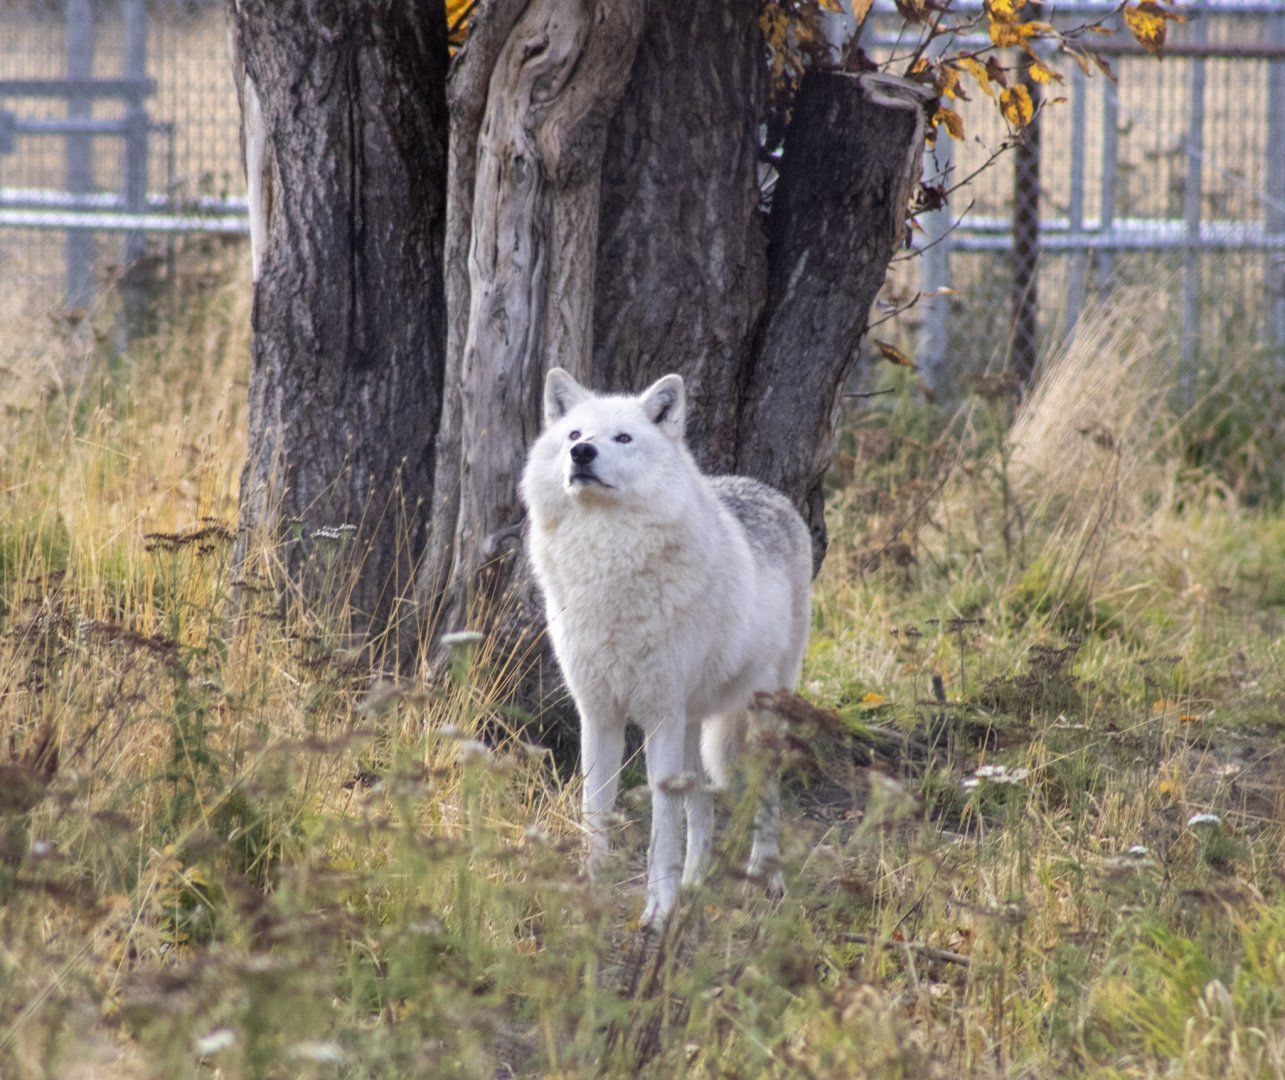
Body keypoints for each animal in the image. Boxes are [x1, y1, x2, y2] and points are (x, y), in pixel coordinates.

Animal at [520, 368, 812, 927]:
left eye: (623, 438)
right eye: (574, 434)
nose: (582, 452)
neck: (605, 563)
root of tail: (768, 490)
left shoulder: (660, 716)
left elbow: (662, 821)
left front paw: (659, 907)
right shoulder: (599, 714)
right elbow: (596, 807)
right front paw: (592, 886)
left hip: (760, 714)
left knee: (765, 794)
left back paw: (768, 877)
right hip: (694, 724)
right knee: (702, 804)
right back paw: (696, 881)